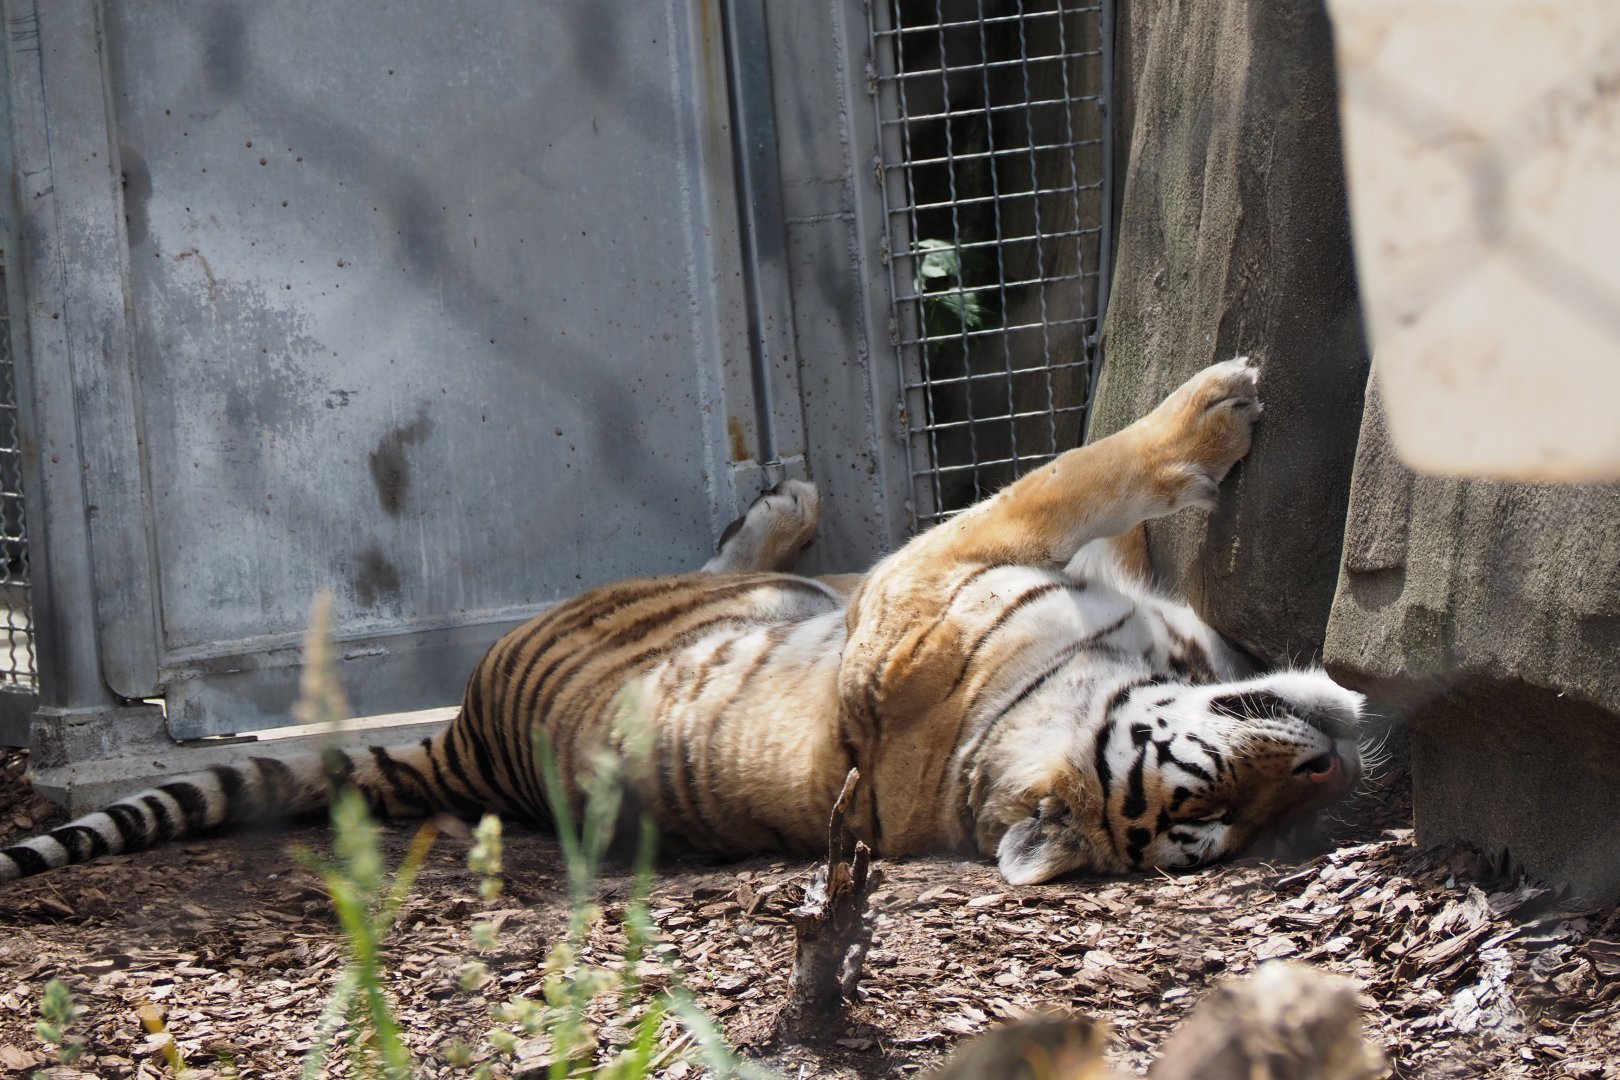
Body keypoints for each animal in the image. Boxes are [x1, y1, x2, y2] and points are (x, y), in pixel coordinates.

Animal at [0, 358, 1364, 886]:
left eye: (1237, 838)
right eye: (1203, 805)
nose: (1331, 770)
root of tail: (462, 747)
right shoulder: (966, 550)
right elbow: (1091, 469)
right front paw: (1217, 411)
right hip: (718, 600)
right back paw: (785, 504)